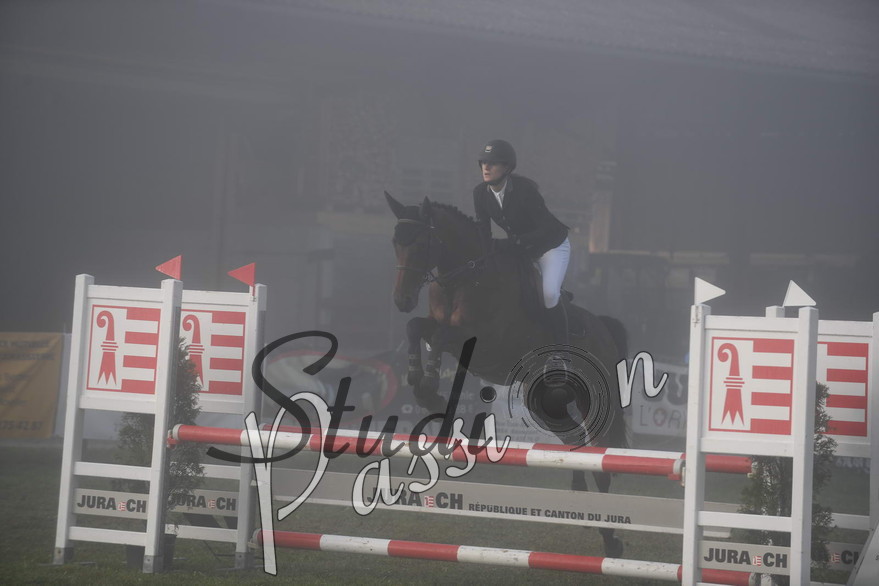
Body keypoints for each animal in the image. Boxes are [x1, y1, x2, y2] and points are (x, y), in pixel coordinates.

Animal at [385, 192, 629, 558]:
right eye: (396, 243)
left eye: (422, 242)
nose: (401, 300)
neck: (463, 277)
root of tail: (604, 328)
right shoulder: (442, 330)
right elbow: (417, 328)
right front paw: (423, 386)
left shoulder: (484, 342)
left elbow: (440, 337)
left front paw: (429, 388)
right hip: (544, 402)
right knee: (576, 442)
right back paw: (585, 507)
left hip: (594, 398)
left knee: (601, 454)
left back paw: (611, 537)